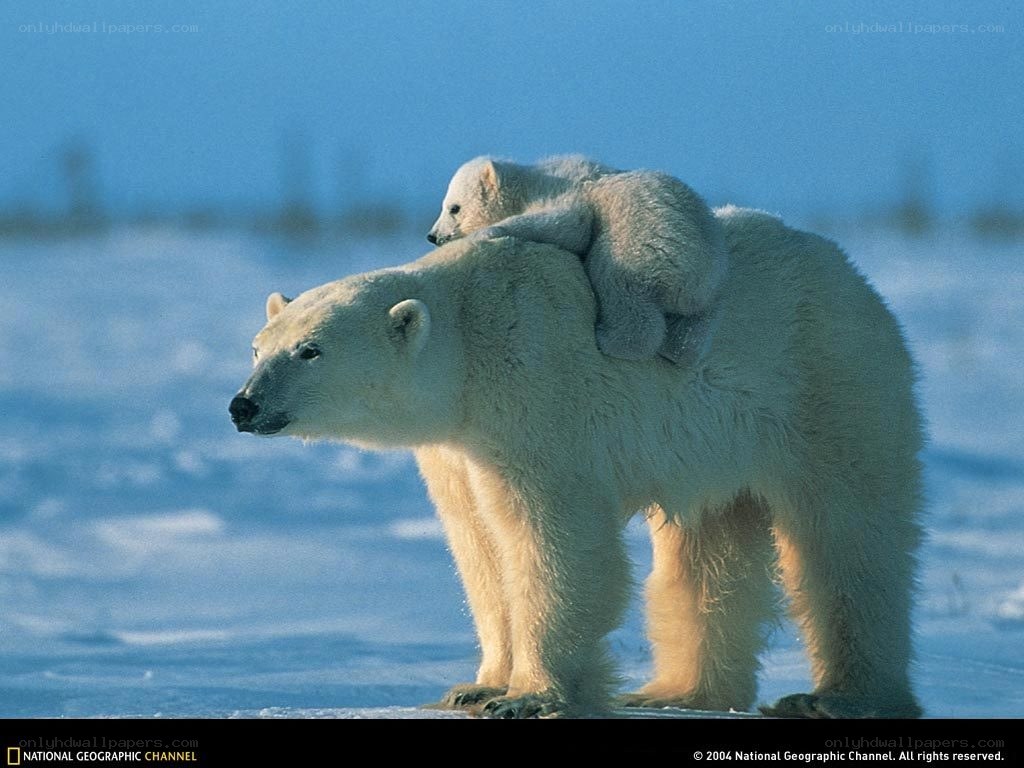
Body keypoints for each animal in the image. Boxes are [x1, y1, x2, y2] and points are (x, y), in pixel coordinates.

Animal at [230, 208, 924, 719]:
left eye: (310, 350)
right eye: (259, 347)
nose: (244, 404)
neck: (469, 341)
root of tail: (854, 275)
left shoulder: (535, 397)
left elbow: (553, 538)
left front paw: (530, 697)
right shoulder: (458, 449)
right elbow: (479, 547)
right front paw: (476, 686)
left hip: (826, 384)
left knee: (848, 538)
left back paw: (838, 698)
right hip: (716, 446)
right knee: (708, 554)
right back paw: (675, 692)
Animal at [427, 155, 728, 365]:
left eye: (454, 207)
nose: (432, 236)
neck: (531, 181)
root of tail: (694, 282)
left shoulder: (563, 191)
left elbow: (570, 224)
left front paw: (489, 230)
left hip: (641, 245)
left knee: (618, 284)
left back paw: (609, 338)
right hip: (711, 285)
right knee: (695, 327)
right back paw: (678, 349)